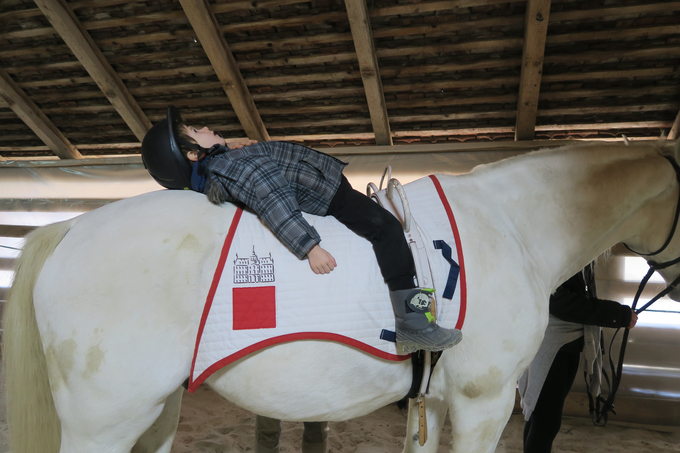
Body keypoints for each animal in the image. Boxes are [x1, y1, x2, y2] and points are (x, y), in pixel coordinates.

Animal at [5, 139, 680, 450]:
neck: (510, 224)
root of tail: (72, 229)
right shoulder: (482, 402)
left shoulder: (434, 402)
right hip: (104, 422)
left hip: (155, 409)